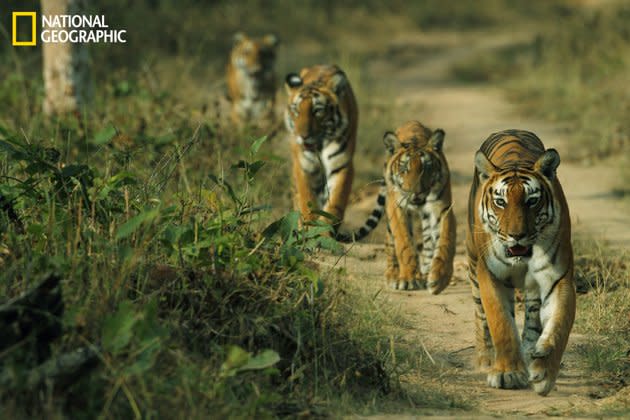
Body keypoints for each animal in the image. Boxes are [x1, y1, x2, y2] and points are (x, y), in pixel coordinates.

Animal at [284, 64, 358, 226]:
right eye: (296, 110)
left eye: (317, 110)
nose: (302, 136)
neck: (319, 146)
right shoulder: (304, 168)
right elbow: (306, 201)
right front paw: (308, 227)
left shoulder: (342, 166)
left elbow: (335, 203)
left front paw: (325, 229)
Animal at [338, 120, 456, 296]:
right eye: (404, 169)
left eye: (426, 168)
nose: (416, 192)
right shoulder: (397, 207)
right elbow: (404, 243)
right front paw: (408, 278)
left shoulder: (442, 208)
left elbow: (446, 242)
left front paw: (439, 279)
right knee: (390, 242)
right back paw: (393, 274)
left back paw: (425, 271)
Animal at [470, 129, 576, 398]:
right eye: (500, 202)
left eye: (531, 201)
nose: (516, 235)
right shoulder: (490, 274)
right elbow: (501, 322)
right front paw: (507, 373)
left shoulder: (558, 278)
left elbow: (559, 325)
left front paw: (544, 372)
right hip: (473, 263)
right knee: (480, 315)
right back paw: (485, 359)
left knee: (532, 313)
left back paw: (529, 349)